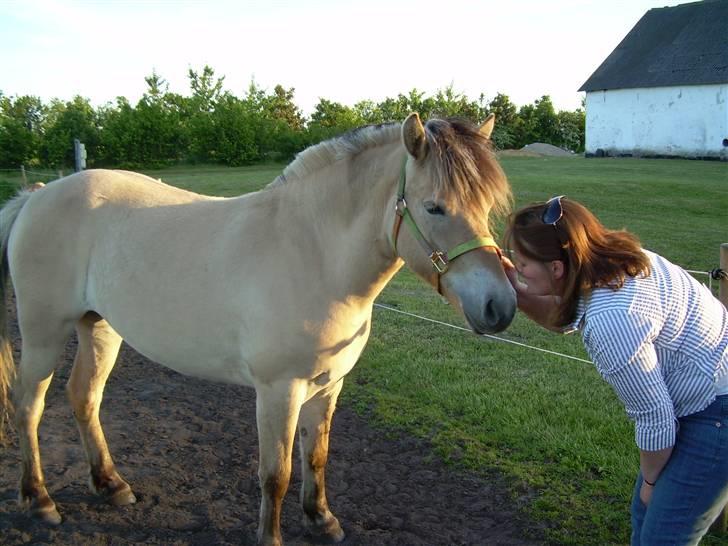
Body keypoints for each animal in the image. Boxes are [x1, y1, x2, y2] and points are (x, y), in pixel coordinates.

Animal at [0, 112, 516, 540]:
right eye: (434, 207)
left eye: (487, 204)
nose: (501, 306)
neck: (312, 254)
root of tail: (37, 197)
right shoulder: (278, 390)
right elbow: (277, 474)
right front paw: (272, 536)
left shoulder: (329, 385)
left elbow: (316, 456)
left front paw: (321, 518)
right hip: (44, 331)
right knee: (28, 404)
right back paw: (39, 499)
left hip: (100, 327)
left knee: (83, 396)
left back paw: (110, 484)